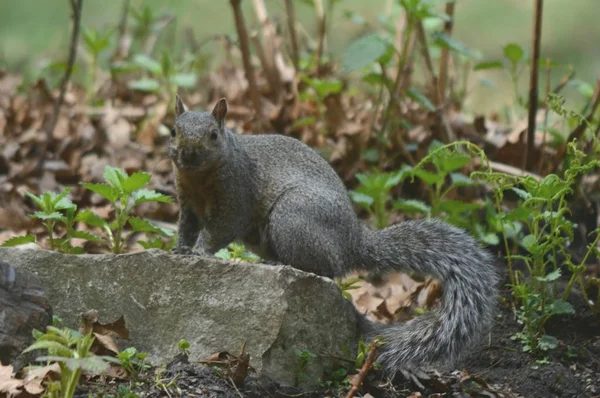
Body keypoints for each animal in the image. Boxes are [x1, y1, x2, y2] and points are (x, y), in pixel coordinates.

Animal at [168, 95, 496, 374]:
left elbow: (220, 229)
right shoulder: (188, 204)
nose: (188, 153)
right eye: (173, 131)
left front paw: (199, 251)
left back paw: (278, 265)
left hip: (292, 218)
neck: (198, 179)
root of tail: (353, 242)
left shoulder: (237, 196)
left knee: (322, 270)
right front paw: (180, 249)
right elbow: (186, 228)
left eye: (213, 134)